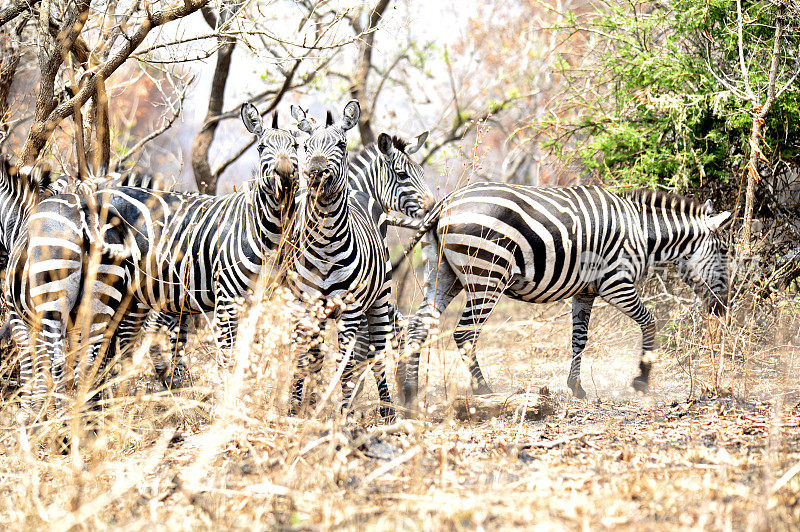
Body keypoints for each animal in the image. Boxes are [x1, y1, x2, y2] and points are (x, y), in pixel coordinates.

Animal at [290, 102, 396, 422]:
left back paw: (388, 412)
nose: (315, 172)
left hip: (380, 299)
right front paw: (296, 412)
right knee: (317, 357)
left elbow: (346, 365)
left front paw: (343, 416)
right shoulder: (305, 308)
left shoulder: (349, 309)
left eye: (341, 144)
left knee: (376, 354)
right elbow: (304, 359)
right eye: (305, 147)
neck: (324, 243)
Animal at [400, 183, 732, 408]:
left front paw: (576, 387)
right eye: (724, 252)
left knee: (418, 328)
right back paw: (485, 390)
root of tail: (445, 203)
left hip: (444, 274)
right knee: (465, 332)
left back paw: (409, 392)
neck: (642, 233)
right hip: (487, 275)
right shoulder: (616, 283)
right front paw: (642, 379)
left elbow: (579, 338)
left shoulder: (585, 291)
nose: (722, 309)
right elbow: (649, 322)